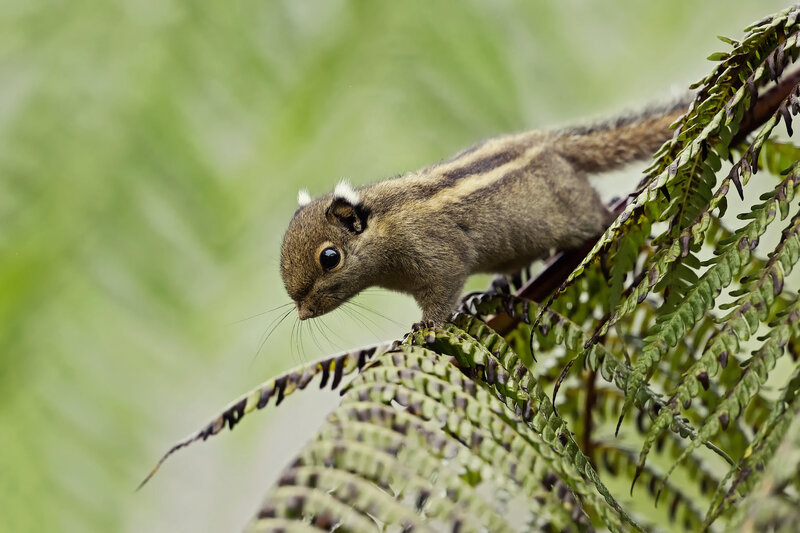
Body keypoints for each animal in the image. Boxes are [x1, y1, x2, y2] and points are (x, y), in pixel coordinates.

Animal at [280, 97, 689, 325]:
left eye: (330, 258)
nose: (302, 313)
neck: (388, 222)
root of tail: (551, 142)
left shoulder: (438, 257)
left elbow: (442, 291)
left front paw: (424, 327)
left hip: (574, 210)